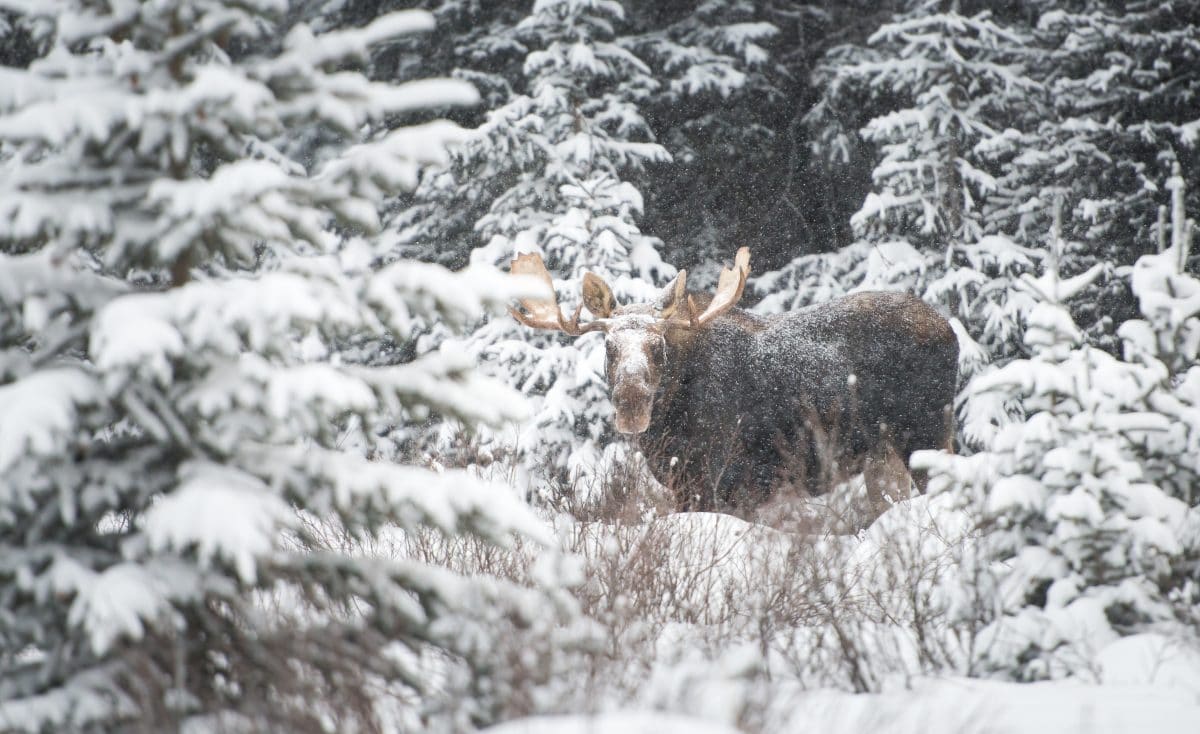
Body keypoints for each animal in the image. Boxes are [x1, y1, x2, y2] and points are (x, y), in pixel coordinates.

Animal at [506, 248, 955, 515]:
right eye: (609, 345)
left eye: (657, 344)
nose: (631, 401)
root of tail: (949, 328)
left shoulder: (716, 481)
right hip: (881, 455)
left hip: (927, 434)